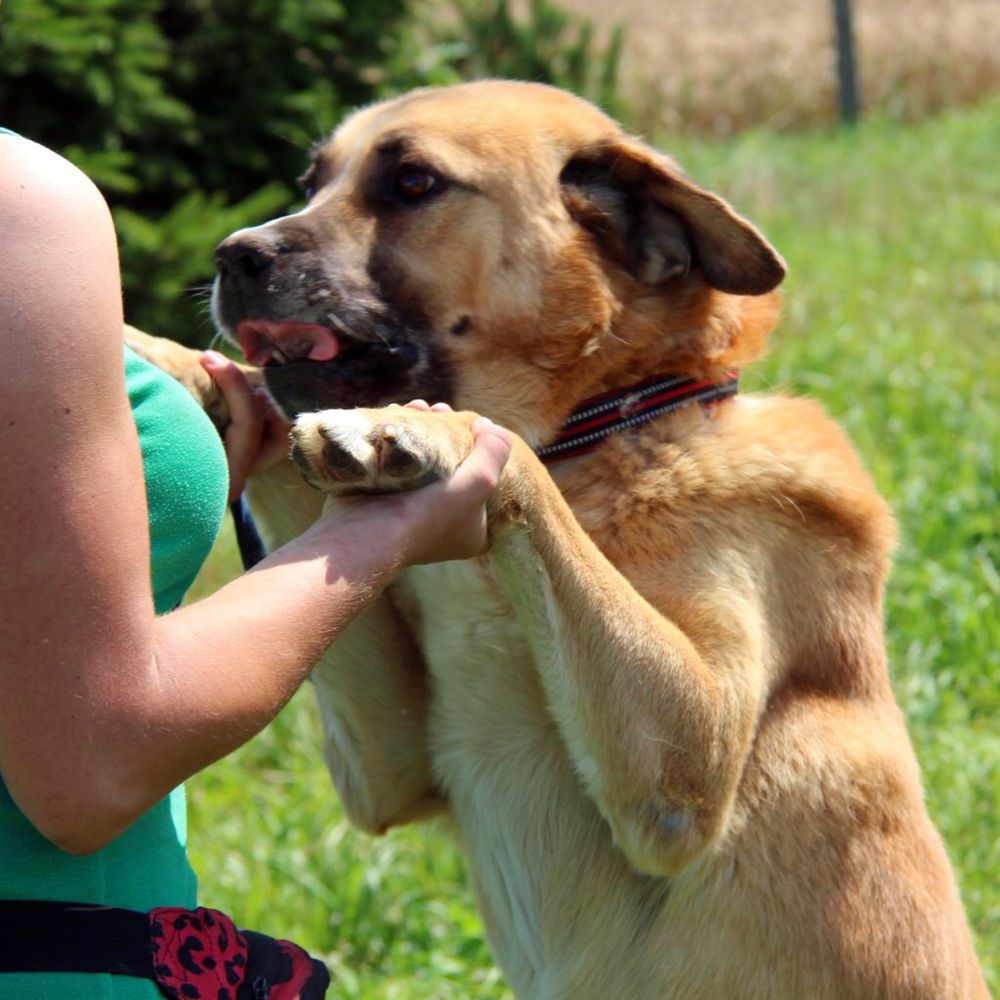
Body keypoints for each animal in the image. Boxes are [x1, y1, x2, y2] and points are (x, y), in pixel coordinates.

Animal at [137, 82, 988, 996]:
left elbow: (504, 446)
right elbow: (260, 397)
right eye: (311, 181)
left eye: (412, 182)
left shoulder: (684, 769)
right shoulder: (388, 768)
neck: (602, 435)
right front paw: (169, 360)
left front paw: (427, 428)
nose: (230, 256)